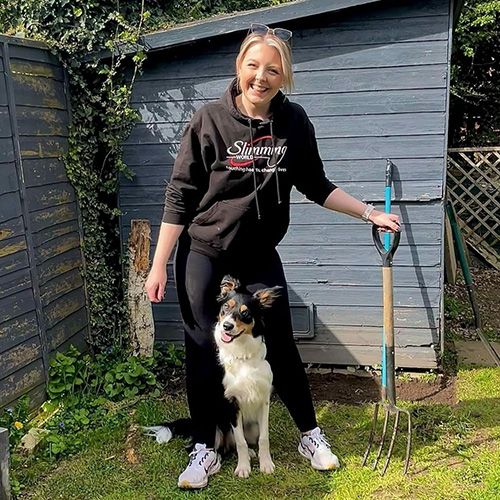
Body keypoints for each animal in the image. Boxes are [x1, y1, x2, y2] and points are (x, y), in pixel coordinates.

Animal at [143, 276, 282, 478]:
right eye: (225, 307)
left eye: (246, 313)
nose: (227, 326)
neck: (242, 355)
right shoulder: (232, 403)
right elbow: (240, 441)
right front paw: (243, 468)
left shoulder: (263, 400)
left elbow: (264, 438)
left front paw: (266, 464)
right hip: (212, 422)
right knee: (220, 446)